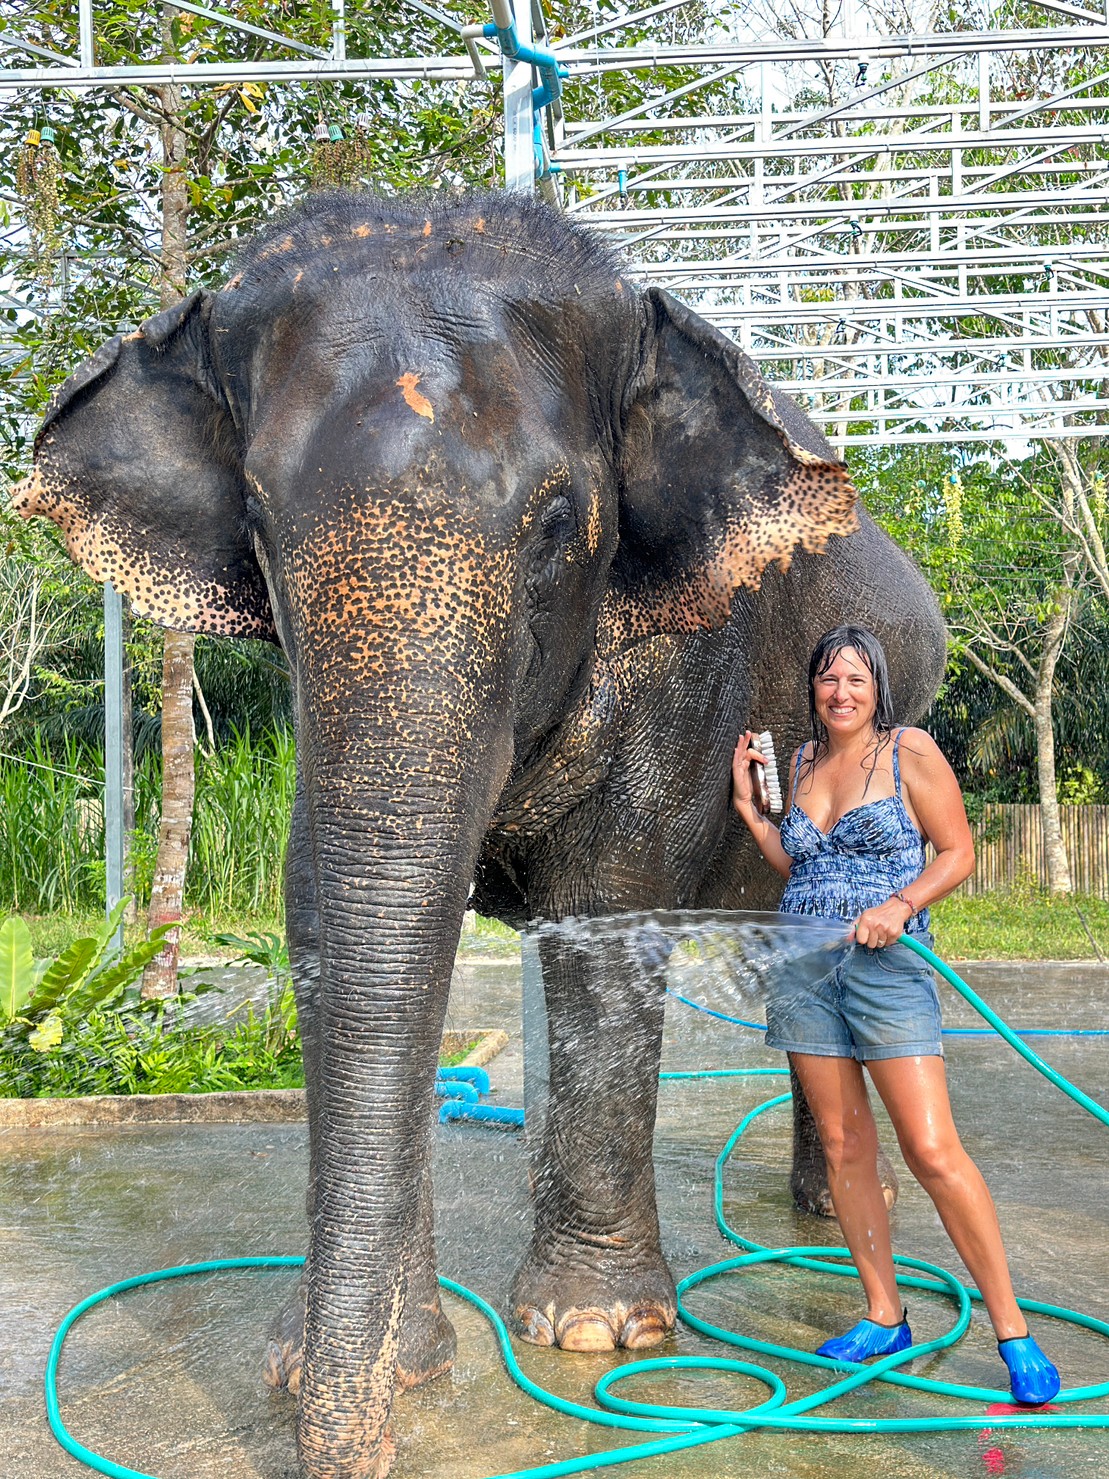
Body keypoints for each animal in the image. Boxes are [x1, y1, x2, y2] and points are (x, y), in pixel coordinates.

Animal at [15, 189, 945, 1479]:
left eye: (557, 523)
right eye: (255, 519)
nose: (349, 1443)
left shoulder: (686, 664)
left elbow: (603, 922)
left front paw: (596, 1332)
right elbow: (337, 914)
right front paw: (368, 1357)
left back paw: (834, 1215)